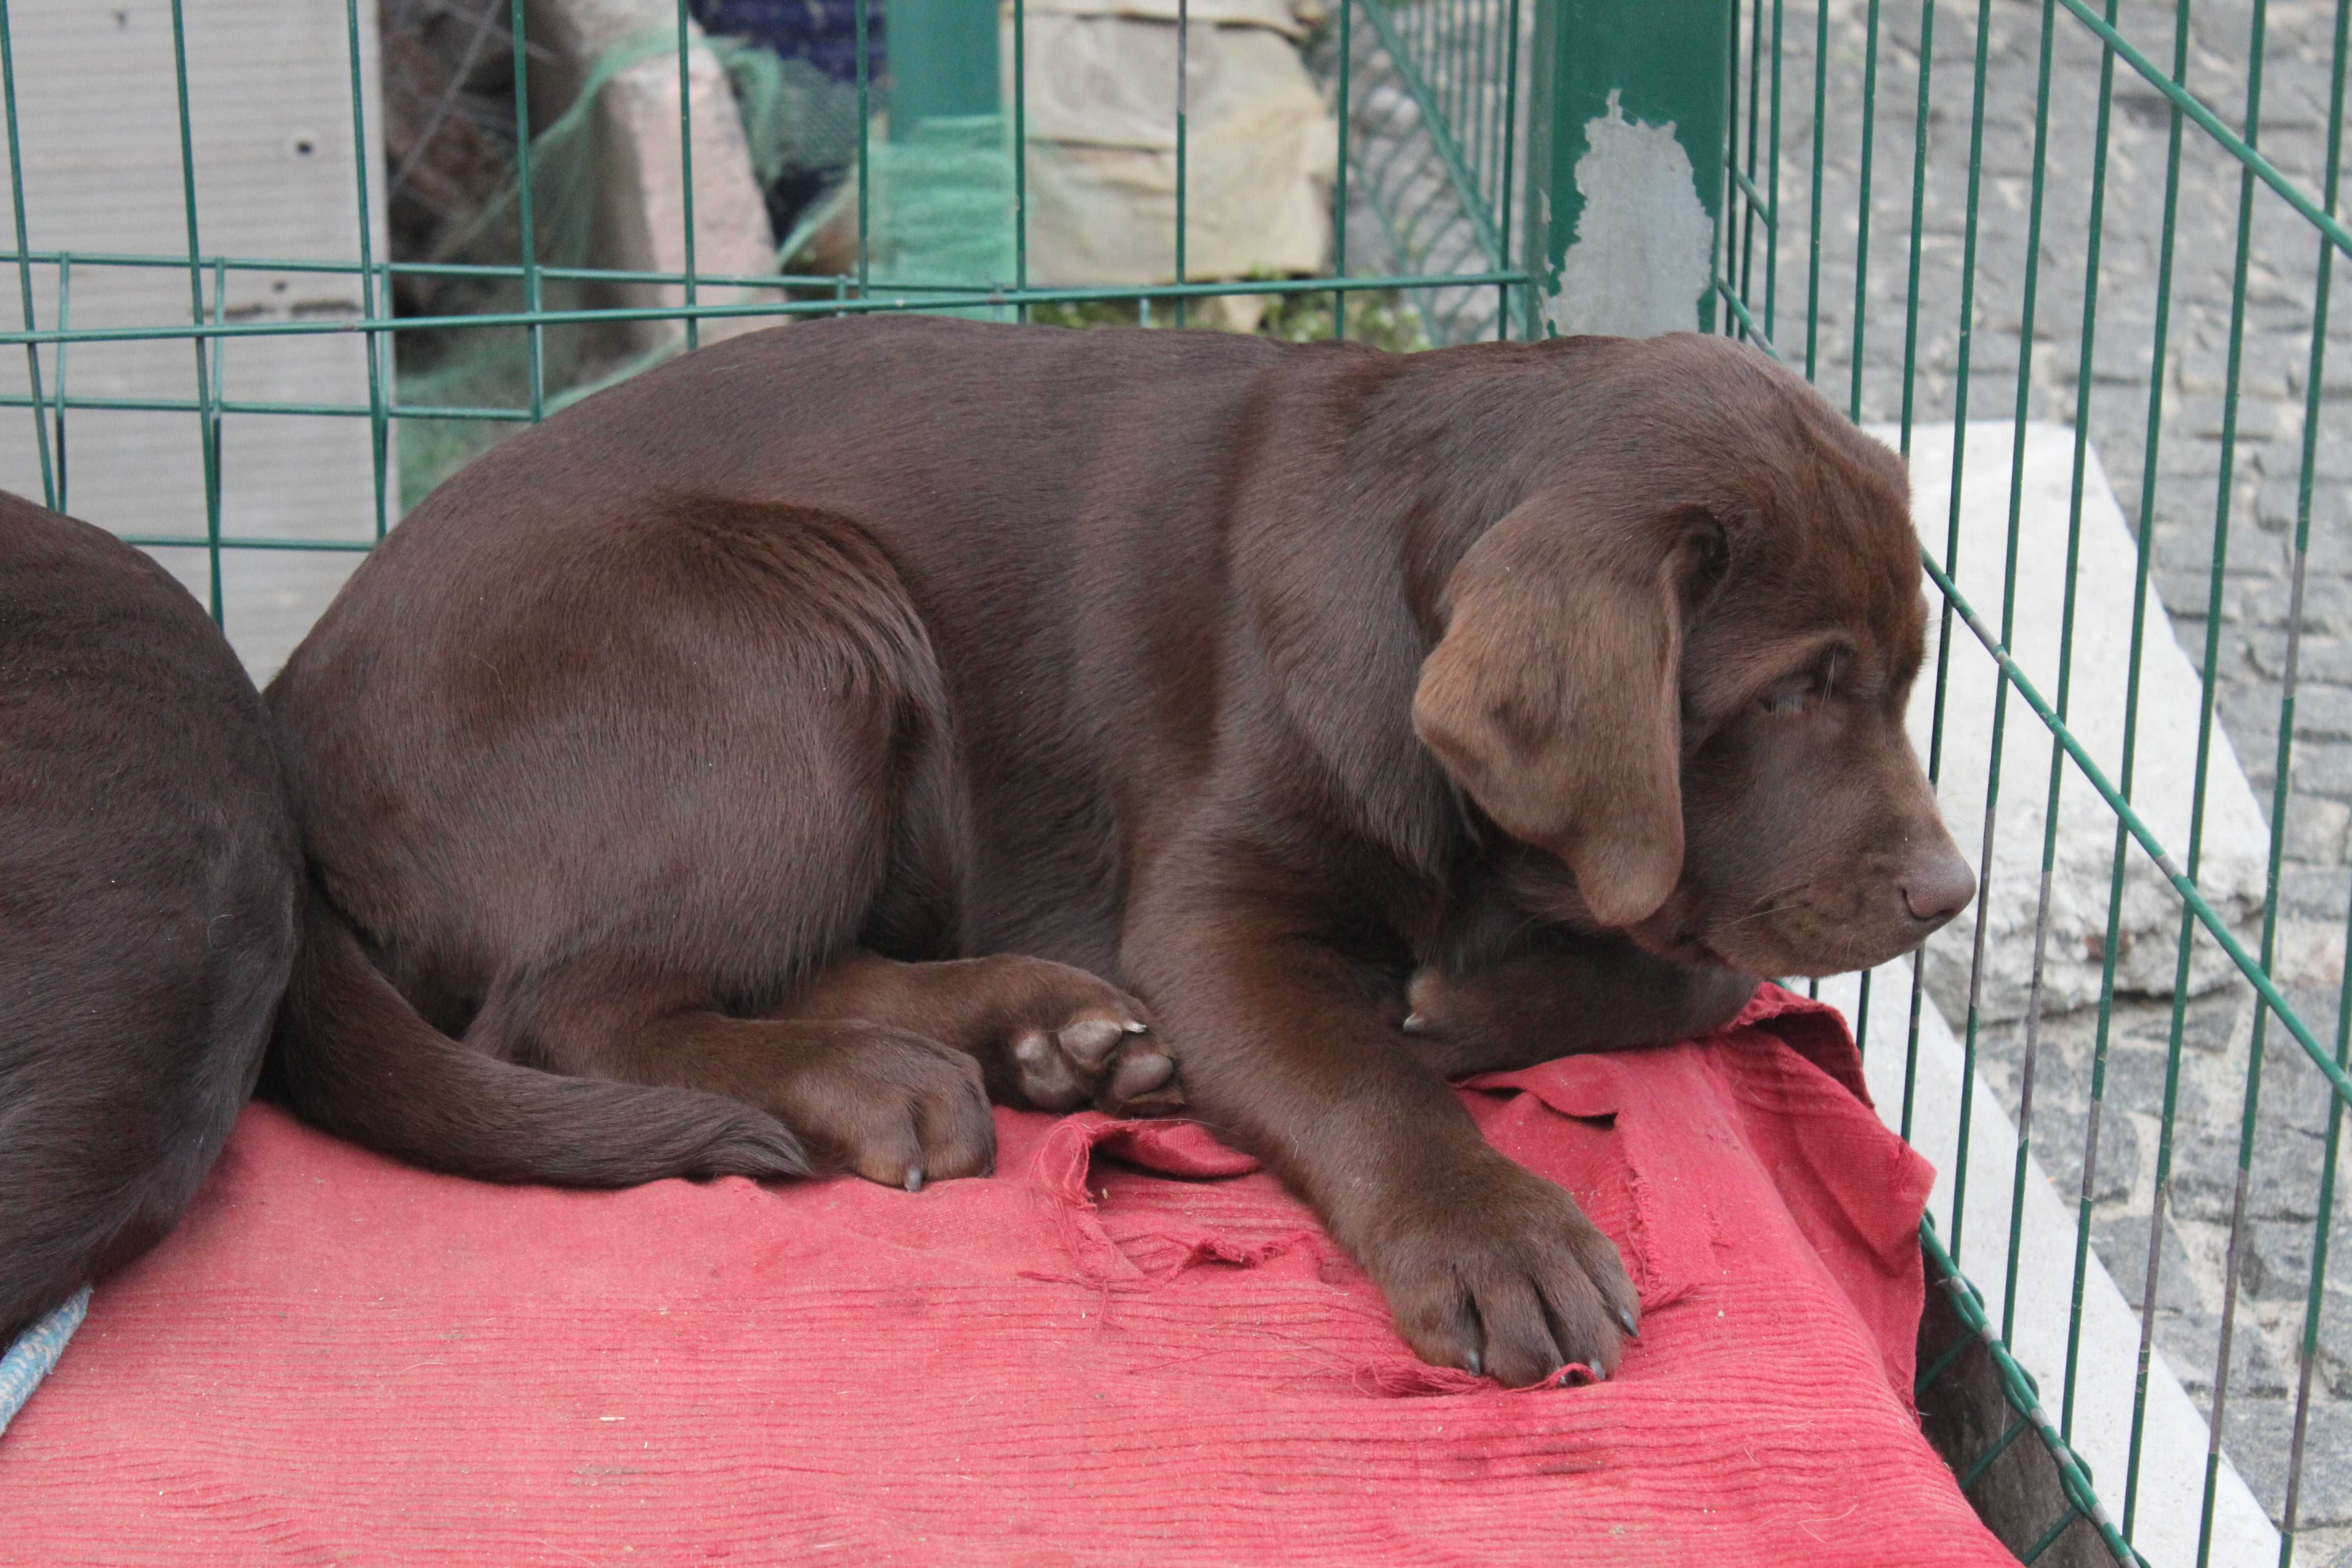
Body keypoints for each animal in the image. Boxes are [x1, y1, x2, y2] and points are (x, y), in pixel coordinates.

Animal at [270, 319, 1966, 1382]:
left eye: (1903, 675)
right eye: (1796, 689)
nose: (1949, 895)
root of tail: (293, 702)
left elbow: (1692, 972)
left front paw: (1471, 1001)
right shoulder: (1216, 911)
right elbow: (1368, 1079)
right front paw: (1492, 1226)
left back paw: (1048, 1031)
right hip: (793, 624)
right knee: (569, 1006)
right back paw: (878, 1080)